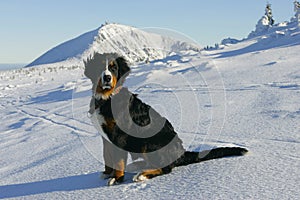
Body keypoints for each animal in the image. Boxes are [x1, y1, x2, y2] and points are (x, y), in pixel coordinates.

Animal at [85, 53, 248, 186]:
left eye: (113, 68)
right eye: (100, 67)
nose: (107, 77)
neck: (106, 98)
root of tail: (181, 152)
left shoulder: (119, 135)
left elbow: (118, 160)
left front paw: (116, 178)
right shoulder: (105, 136)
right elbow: (107, 156)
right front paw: (107, 173)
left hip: (150, 142)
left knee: (166, 168)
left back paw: (142, 175)